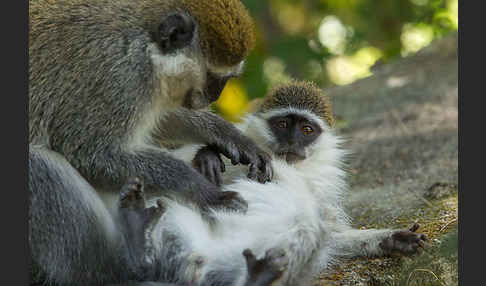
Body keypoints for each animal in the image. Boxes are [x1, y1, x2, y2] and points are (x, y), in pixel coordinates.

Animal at [30, 0, 274, 284]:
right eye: (216, 78)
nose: (214, 97)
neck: (144, 44)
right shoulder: (119, 78)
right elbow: (91, 153)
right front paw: (206, 192)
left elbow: (162, 117)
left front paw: (231, 137)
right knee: (38, 162)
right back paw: (127, 265)